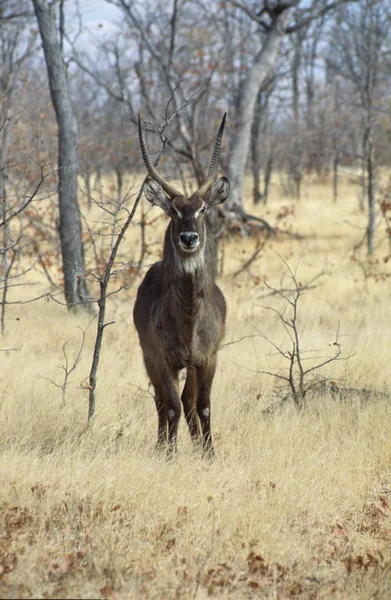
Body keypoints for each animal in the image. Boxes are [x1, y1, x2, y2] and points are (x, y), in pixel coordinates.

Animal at [135, 115, 231, 458]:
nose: (189, 238)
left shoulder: (208, 358)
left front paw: (209, 454)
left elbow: (202, 406)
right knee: (163, 402)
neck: (189, 320)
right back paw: (163, 444)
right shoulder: (162, 359)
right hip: (150, 357)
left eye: (202, 208)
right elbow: (171, 405)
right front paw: (169, 454)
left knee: (188, 402)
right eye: (174, 210)